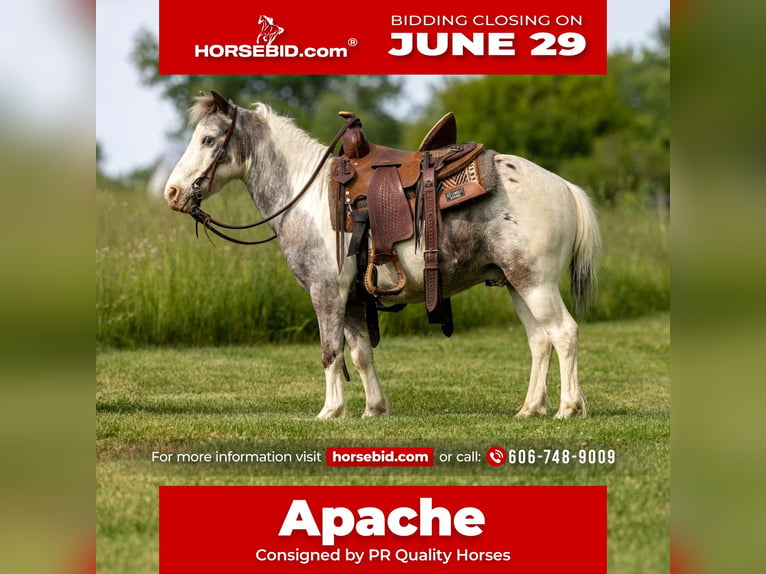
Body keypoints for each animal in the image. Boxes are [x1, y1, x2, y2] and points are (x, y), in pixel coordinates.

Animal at [163, 91, 601, 420]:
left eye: (208, 139)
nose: (172, 192)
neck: (307, 198)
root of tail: (563, 186)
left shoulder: (326, 291)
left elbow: (330, 351)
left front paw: (330, 411)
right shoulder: (355, 298)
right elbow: (360, 354)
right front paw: (373, 408)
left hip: (536, 284)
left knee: (564, 333)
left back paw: (567, 407)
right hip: (515, 283)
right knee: (539, 341)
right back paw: (531, 408)